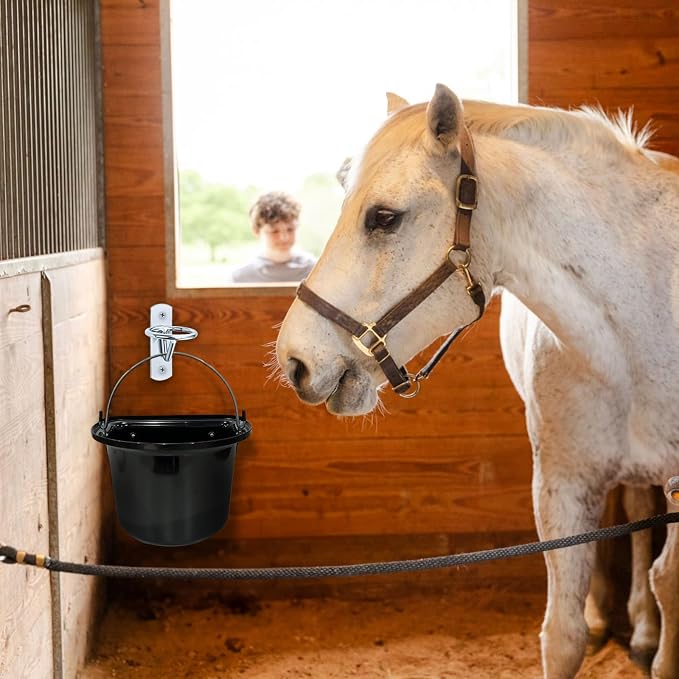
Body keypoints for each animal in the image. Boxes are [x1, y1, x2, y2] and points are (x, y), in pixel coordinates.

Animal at [275, 84, 679, 679]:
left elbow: (668, 581)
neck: (644, 309)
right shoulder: (561, 486)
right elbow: (562, 636)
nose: (295, 360)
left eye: (384, 217)